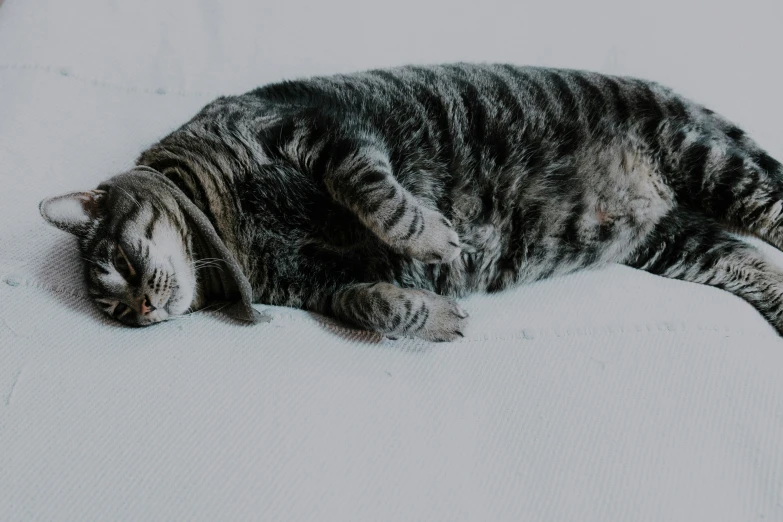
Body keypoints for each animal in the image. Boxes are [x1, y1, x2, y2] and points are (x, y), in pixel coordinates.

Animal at [39, 64, 783, 342]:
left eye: (120, 263)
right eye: (112, 307)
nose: (139, 311)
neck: (234, 243)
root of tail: (668, 91)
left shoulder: (320, 129)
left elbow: (372, 191)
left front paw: (431, 234)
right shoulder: (324, 286)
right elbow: (366, 302)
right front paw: (432, 314)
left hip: (712, 164)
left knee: (770, 215)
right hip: (680, 243)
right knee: (755, 264)